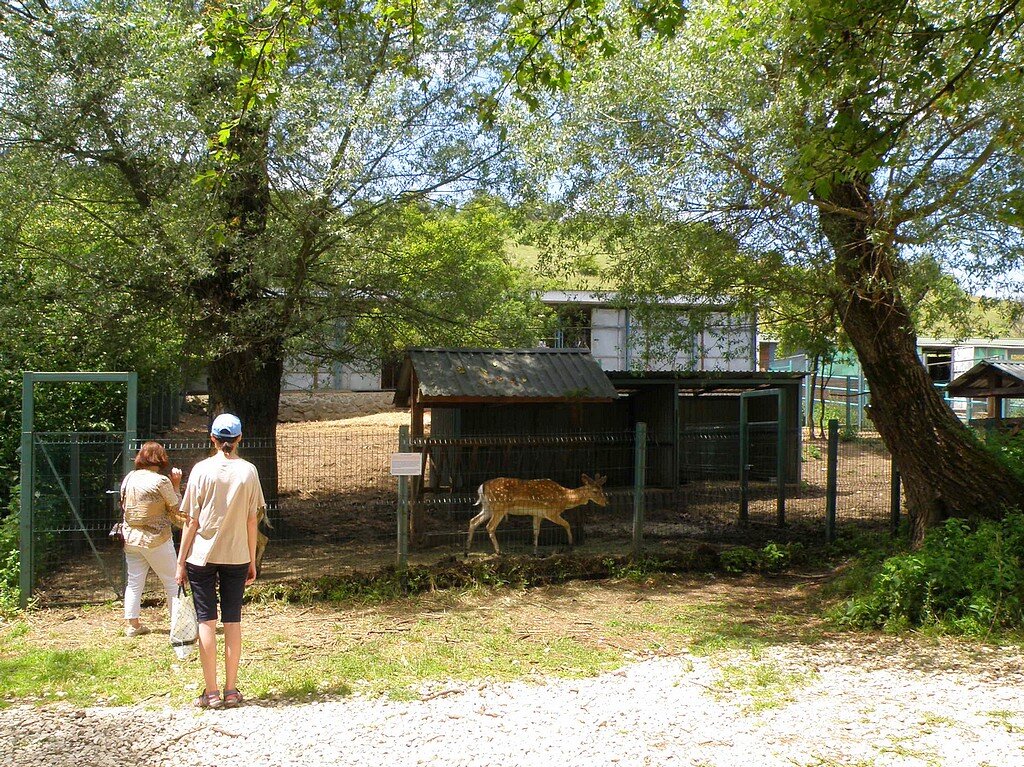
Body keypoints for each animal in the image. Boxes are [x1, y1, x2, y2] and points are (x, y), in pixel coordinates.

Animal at [466, 469, 606, 552]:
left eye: (602, 489)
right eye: (595, 491)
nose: (606, 502)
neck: (565, 498)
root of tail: (482, 486)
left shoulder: (537, 514)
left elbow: (536, 531)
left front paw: (535, 551)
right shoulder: (551, 512)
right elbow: (567, 524)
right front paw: (571, 545)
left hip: (487, 507)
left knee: (473, 520)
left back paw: (467, 551)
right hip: (499, 506)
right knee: (489, 526)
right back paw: (498, 551)